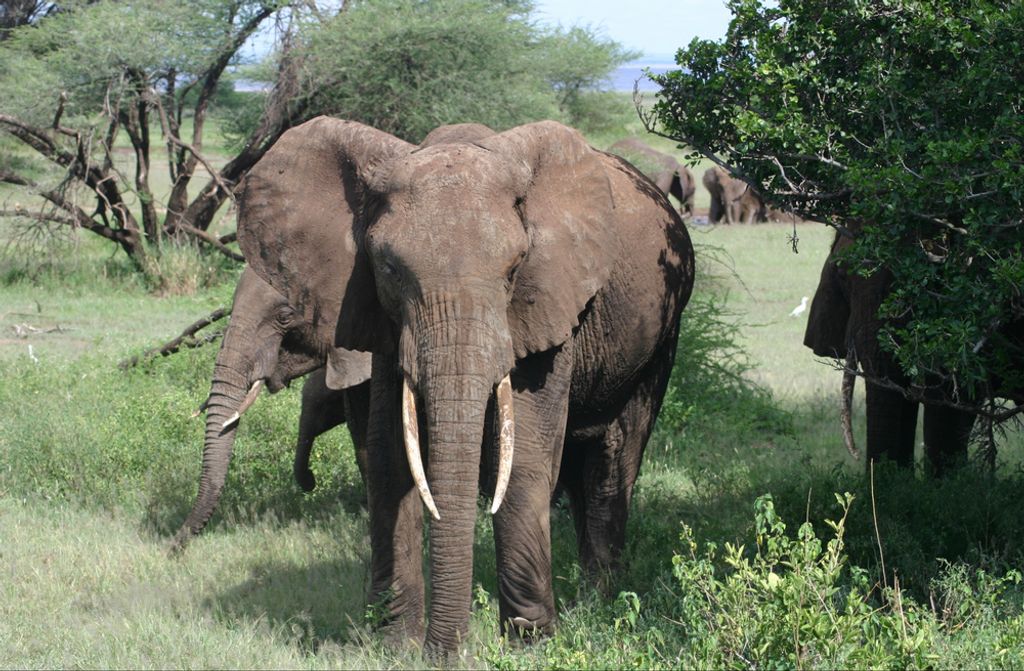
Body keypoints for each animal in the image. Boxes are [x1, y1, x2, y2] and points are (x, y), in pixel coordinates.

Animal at [235, 116, 695, 654]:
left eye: (515, 269)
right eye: (388, 269)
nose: (449, 654)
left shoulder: (548, 303)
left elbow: (524, 457)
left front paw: (528, 642)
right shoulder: (380, 319)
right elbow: (389, 455)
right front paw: (394, 643)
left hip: (663, 326)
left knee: (615, 455)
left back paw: (601, 599)